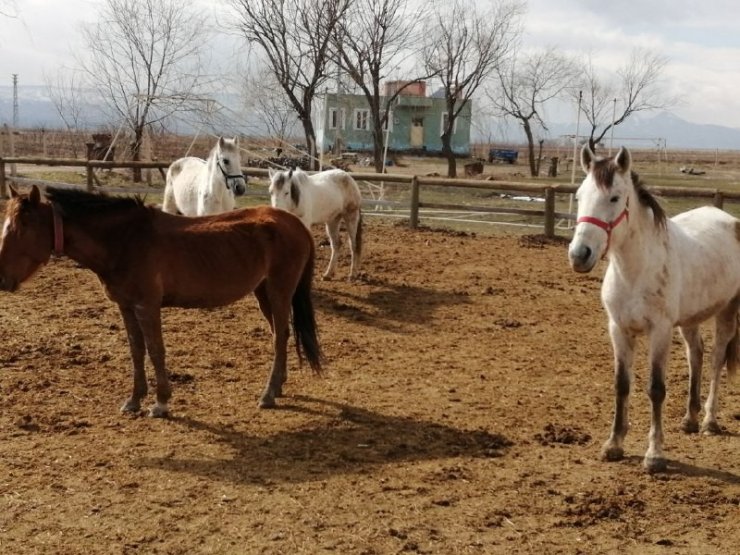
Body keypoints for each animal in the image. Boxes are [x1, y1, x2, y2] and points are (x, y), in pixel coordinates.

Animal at [0, 187, 320, 416]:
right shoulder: (127, 306)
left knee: (280, 336)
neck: (124, 240)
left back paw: (268, 394)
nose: (2, 279)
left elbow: (155, 351)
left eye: (21, 227)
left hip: (279, 291)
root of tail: (296, 224)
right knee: (281, 334)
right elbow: (136, 350)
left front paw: (161, 403)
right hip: (263, 292)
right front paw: (134, 400)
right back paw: (278, 387)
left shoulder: (147, 306)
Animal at [568, 143, 736, 474]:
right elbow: (621, 385)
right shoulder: (619, 330)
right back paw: (690, 419)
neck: (635, 271)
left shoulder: (659, 331)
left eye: (614, 197)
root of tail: (730, 220)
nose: (580, 255)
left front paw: (655, 455)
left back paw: (709, 421)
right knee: (695, 355)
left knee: (716, 360)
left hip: (727, 311)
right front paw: (614, 445)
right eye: (579, 196)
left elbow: (656, 388)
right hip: (689, 319)